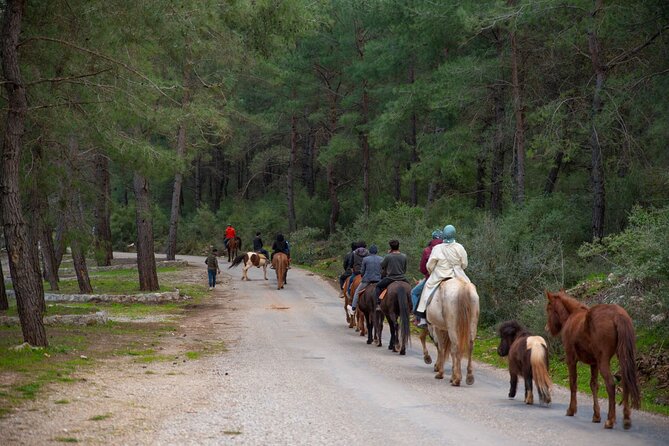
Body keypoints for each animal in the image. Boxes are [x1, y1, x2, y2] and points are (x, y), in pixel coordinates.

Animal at [545, 289, 640, 429]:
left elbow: (573, 383)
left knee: (610, 384)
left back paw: (610, 420)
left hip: (603, 360)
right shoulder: (594, 363)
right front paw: (596, 415)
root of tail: (617, 315)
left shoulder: (571, 359)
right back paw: (626, 419)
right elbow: (594, 385)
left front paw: (571, 409)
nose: (547, 328)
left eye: (549, 308)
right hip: (622, 357)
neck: (571, 316)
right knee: (625, 381)